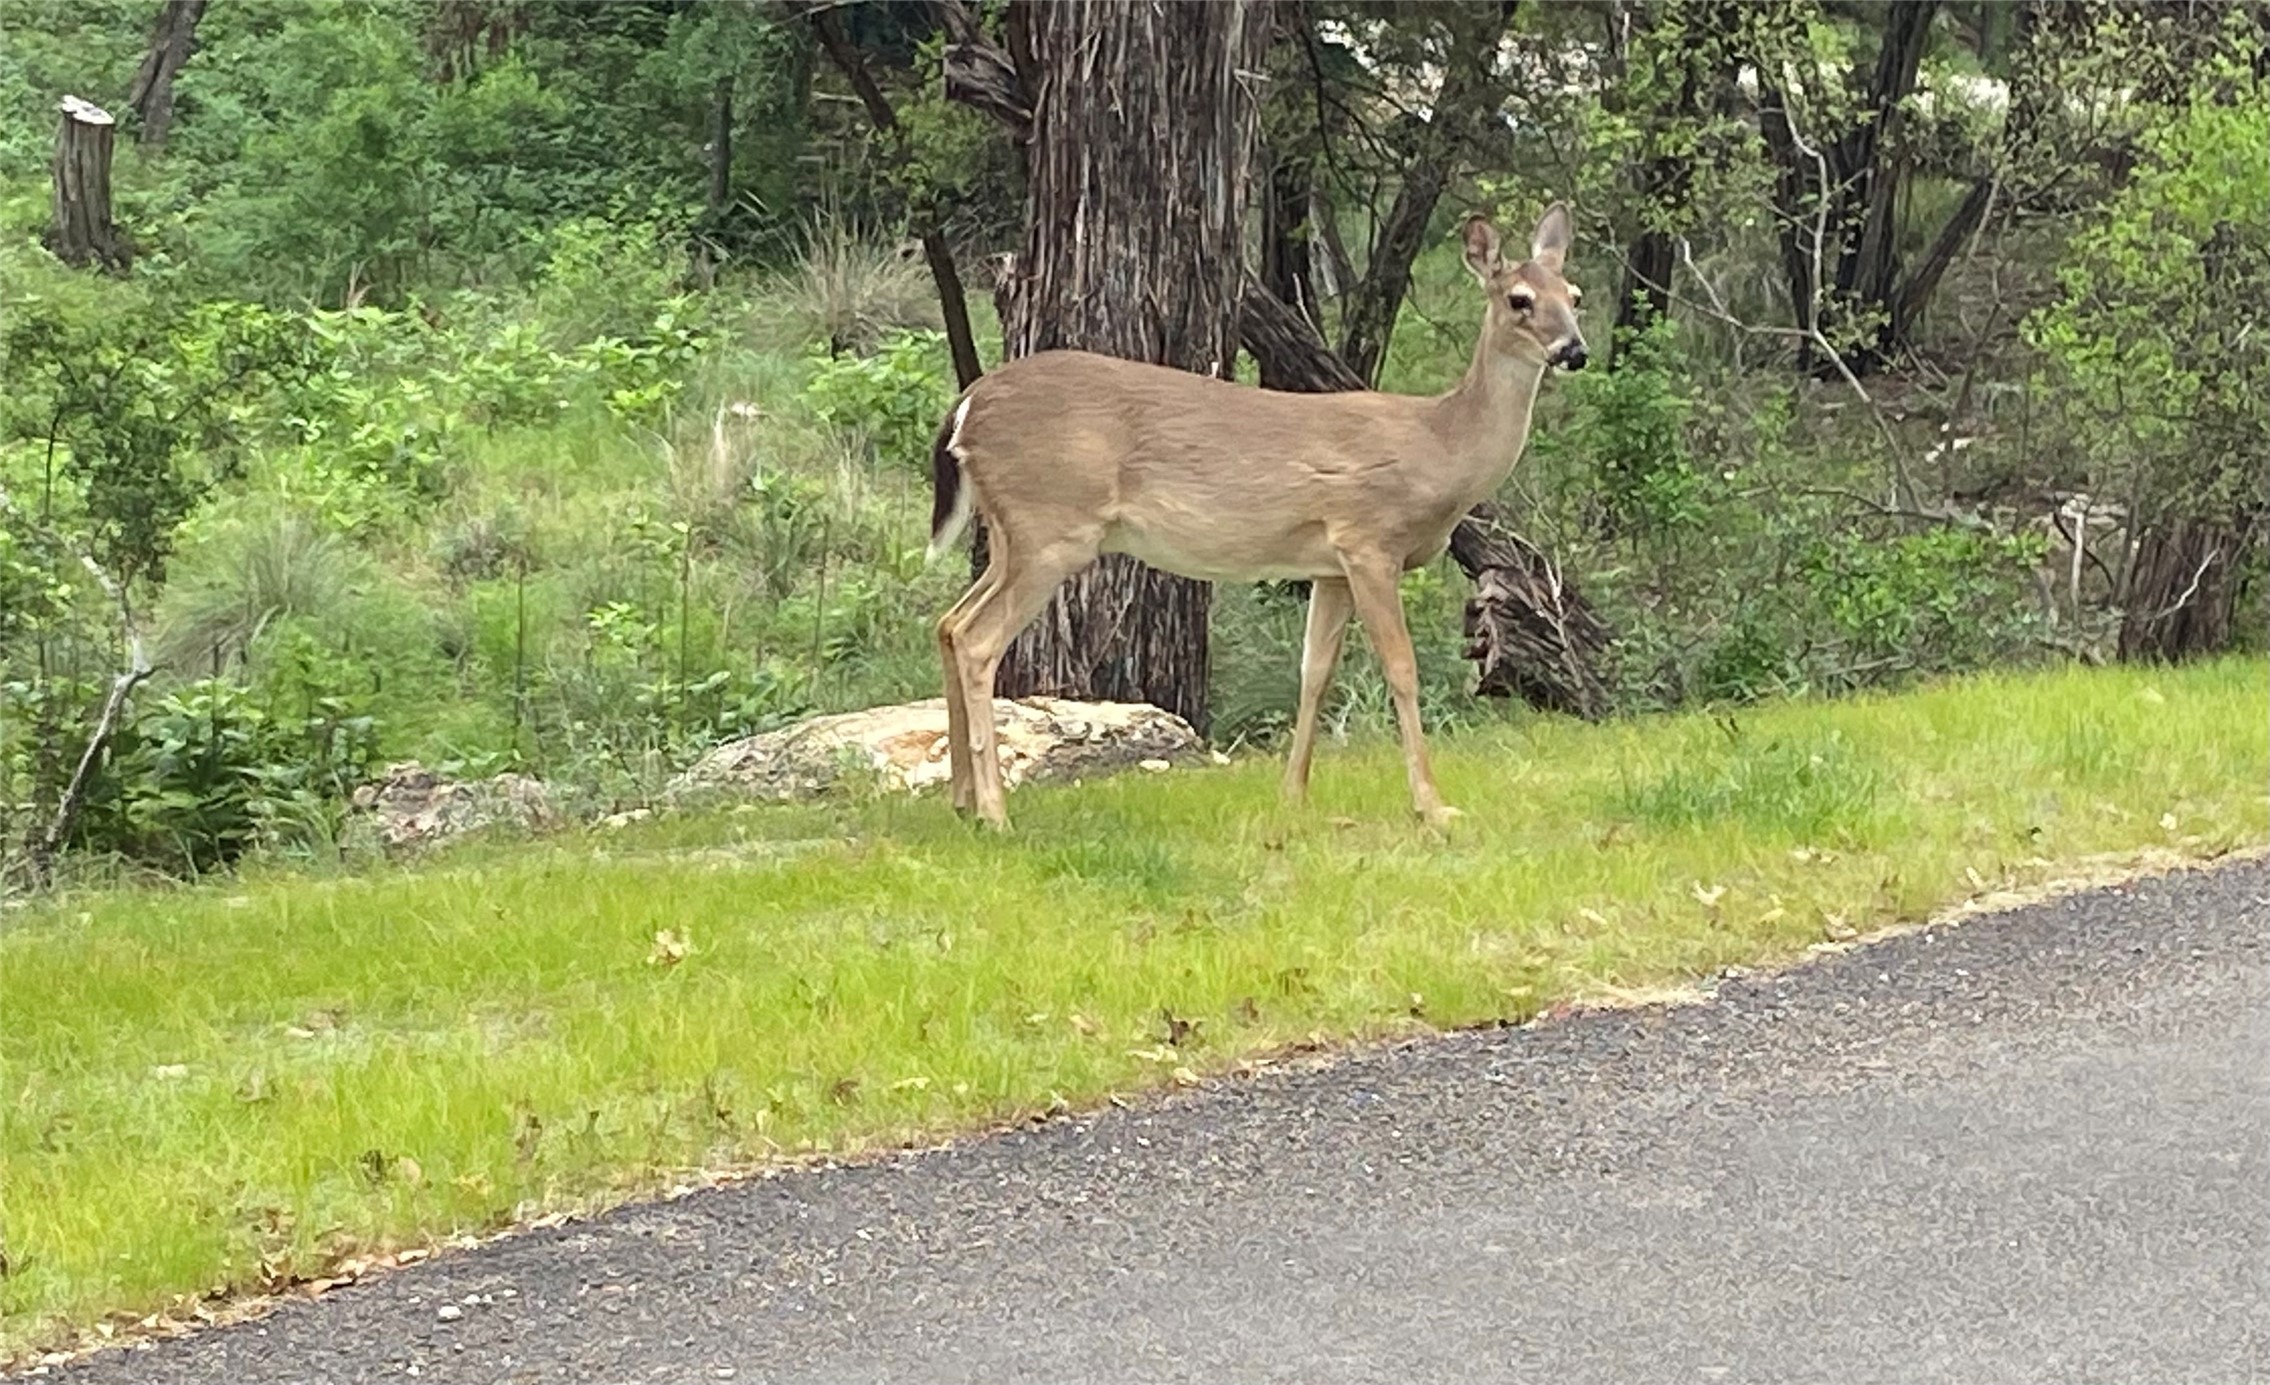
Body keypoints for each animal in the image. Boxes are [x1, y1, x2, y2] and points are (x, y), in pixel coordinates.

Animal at [925, 205, 1586, 830]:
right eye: (1519, 299)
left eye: (1574, 296)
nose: (1575, 350)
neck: (1442, 444)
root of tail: (967, 407)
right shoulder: (1370, 540)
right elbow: (1402, 668)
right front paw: (1434, 807)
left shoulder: (1329, 567)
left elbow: (1314, 671)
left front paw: (1293, 795)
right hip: (1052, 526)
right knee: (978, 641)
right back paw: (995, 812)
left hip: (1012, 532)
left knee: (950, 623)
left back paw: (961, 801)